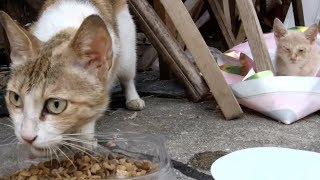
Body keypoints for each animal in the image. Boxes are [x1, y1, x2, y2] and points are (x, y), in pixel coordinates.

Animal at [0, 0, 145, 156]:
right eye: (15, 98)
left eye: (56, 104)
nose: (26, 137)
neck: (64, 31)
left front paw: (86, 140)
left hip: (127, 50)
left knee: (127, 75)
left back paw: (133, 99)